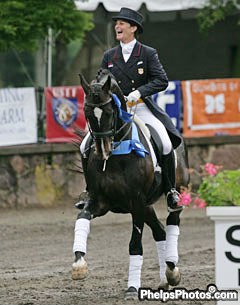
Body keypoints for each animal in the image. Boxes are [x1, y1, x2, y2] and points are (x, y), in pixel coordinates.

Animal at [71, 69, 189, 300]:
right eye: (87, 113)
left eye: (110, 112)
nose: (102, 150)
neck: (116, 156)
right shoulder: (99, 202)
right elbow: (82, 218)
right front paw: (79, 265)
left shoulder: (136, 202)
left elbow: (135, 244)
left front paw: (132, 288)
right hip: (147, 205)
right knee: (160, 232)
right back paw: (164, 279)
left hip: (173, 191)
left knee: (173, 221)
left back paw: (172, 272)